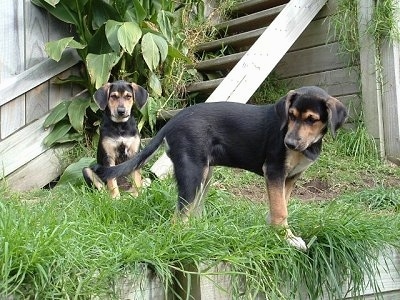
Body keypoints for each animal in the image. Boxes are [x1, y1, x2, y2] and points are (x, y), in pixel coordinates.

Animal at [90, 85, 346, 248]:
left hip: (205, 173)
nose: (289, 143)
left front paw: (275, 231)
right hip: (192, 173)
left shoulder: (290, 177)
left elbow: (280, 204)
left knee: (190, 212)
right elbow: (281, 209)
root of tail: (174, 120)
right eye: (290, 115)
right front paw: (286, 238)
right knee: (178, 217)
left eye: (312, 119)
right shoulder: (273, 171)